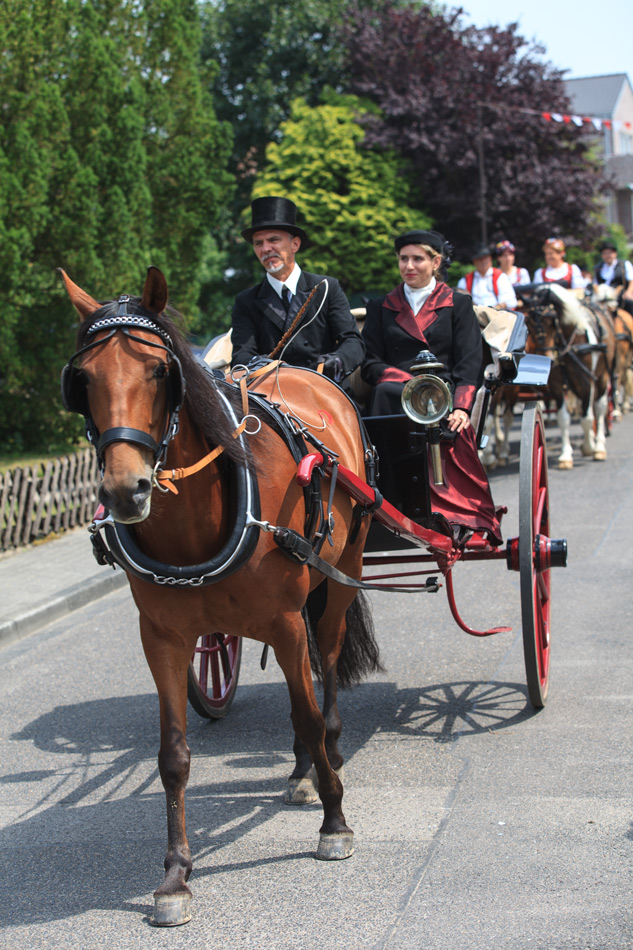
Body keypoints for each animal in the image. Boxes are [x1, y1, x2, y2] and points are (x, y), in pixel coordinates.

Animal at [59, 266, 380, 928]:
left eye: (160, 371)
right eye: (83, 380)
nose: (125, 490)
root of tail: (299, 370)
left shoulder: (285, 619)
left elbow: (308, 713)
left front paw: (335, 822)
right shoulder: (163, 638)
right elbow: (174, 756)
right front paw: (175, 877)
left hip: (341, 573)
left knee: (328, 670)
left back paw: (329, 759)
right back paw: (304, 771)